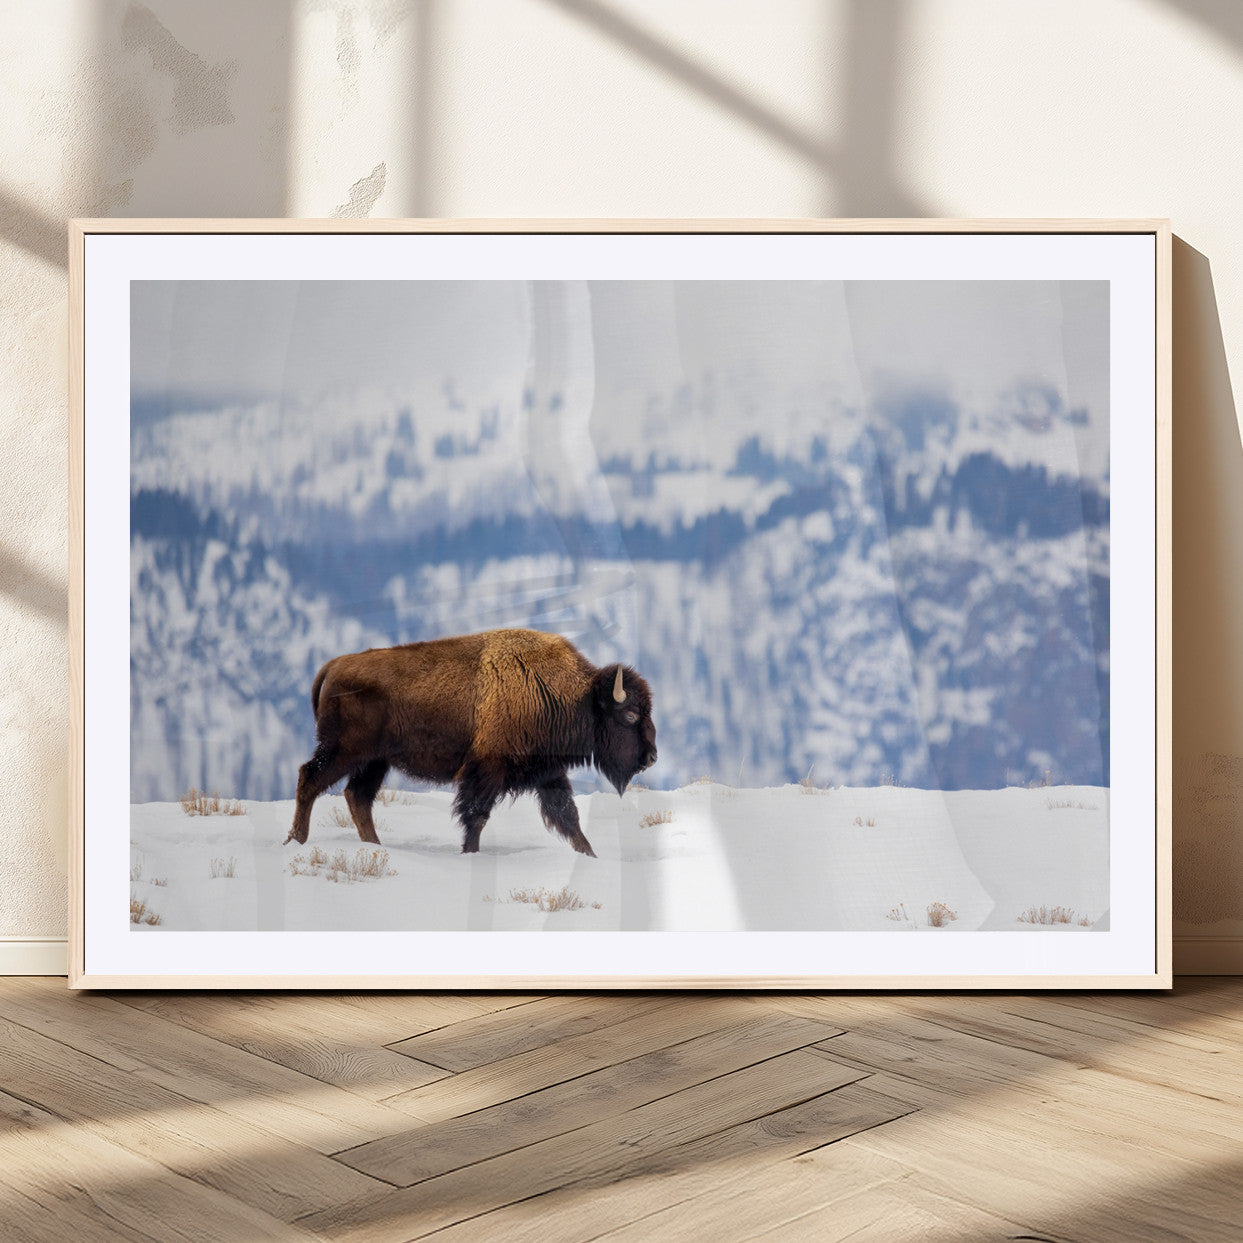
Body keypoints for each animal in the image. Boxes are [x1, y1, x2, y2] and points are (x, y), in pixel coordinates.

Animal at [285, 628, 657, 856]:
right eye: (630, 715)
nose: (651, 757)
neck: (572, 695)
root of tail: (335, 664)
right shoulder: (486, 771)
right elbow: (476, 815)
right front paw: (469, 852)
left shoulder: (548, 772)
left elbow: (569, 817)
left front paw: (591, 855)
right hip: (344, 751)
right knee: (310, 779)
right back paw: (296, 840)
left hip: (375, 761)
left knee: (357, 796)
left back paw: (375, 847)